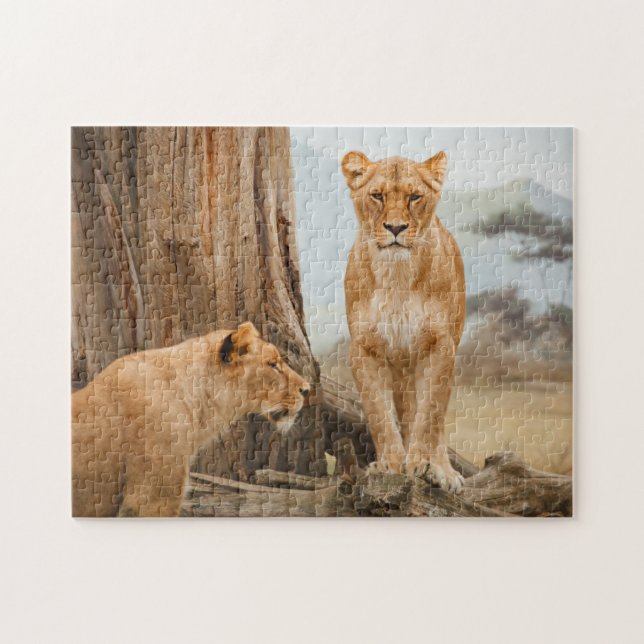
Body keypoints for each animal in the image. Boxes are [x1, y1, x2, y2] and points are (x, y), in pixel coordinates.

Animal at [341, 150, 466, 492]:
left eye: (414, 197)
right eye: (377, 195)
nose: (395, 227)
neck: (396, 275)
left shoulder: (440, 346)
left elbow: (430, 415)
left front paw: (424, 465)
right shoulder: (364, 348)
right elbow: (379, 414)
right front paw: (390, 464)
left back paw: (444, 470)